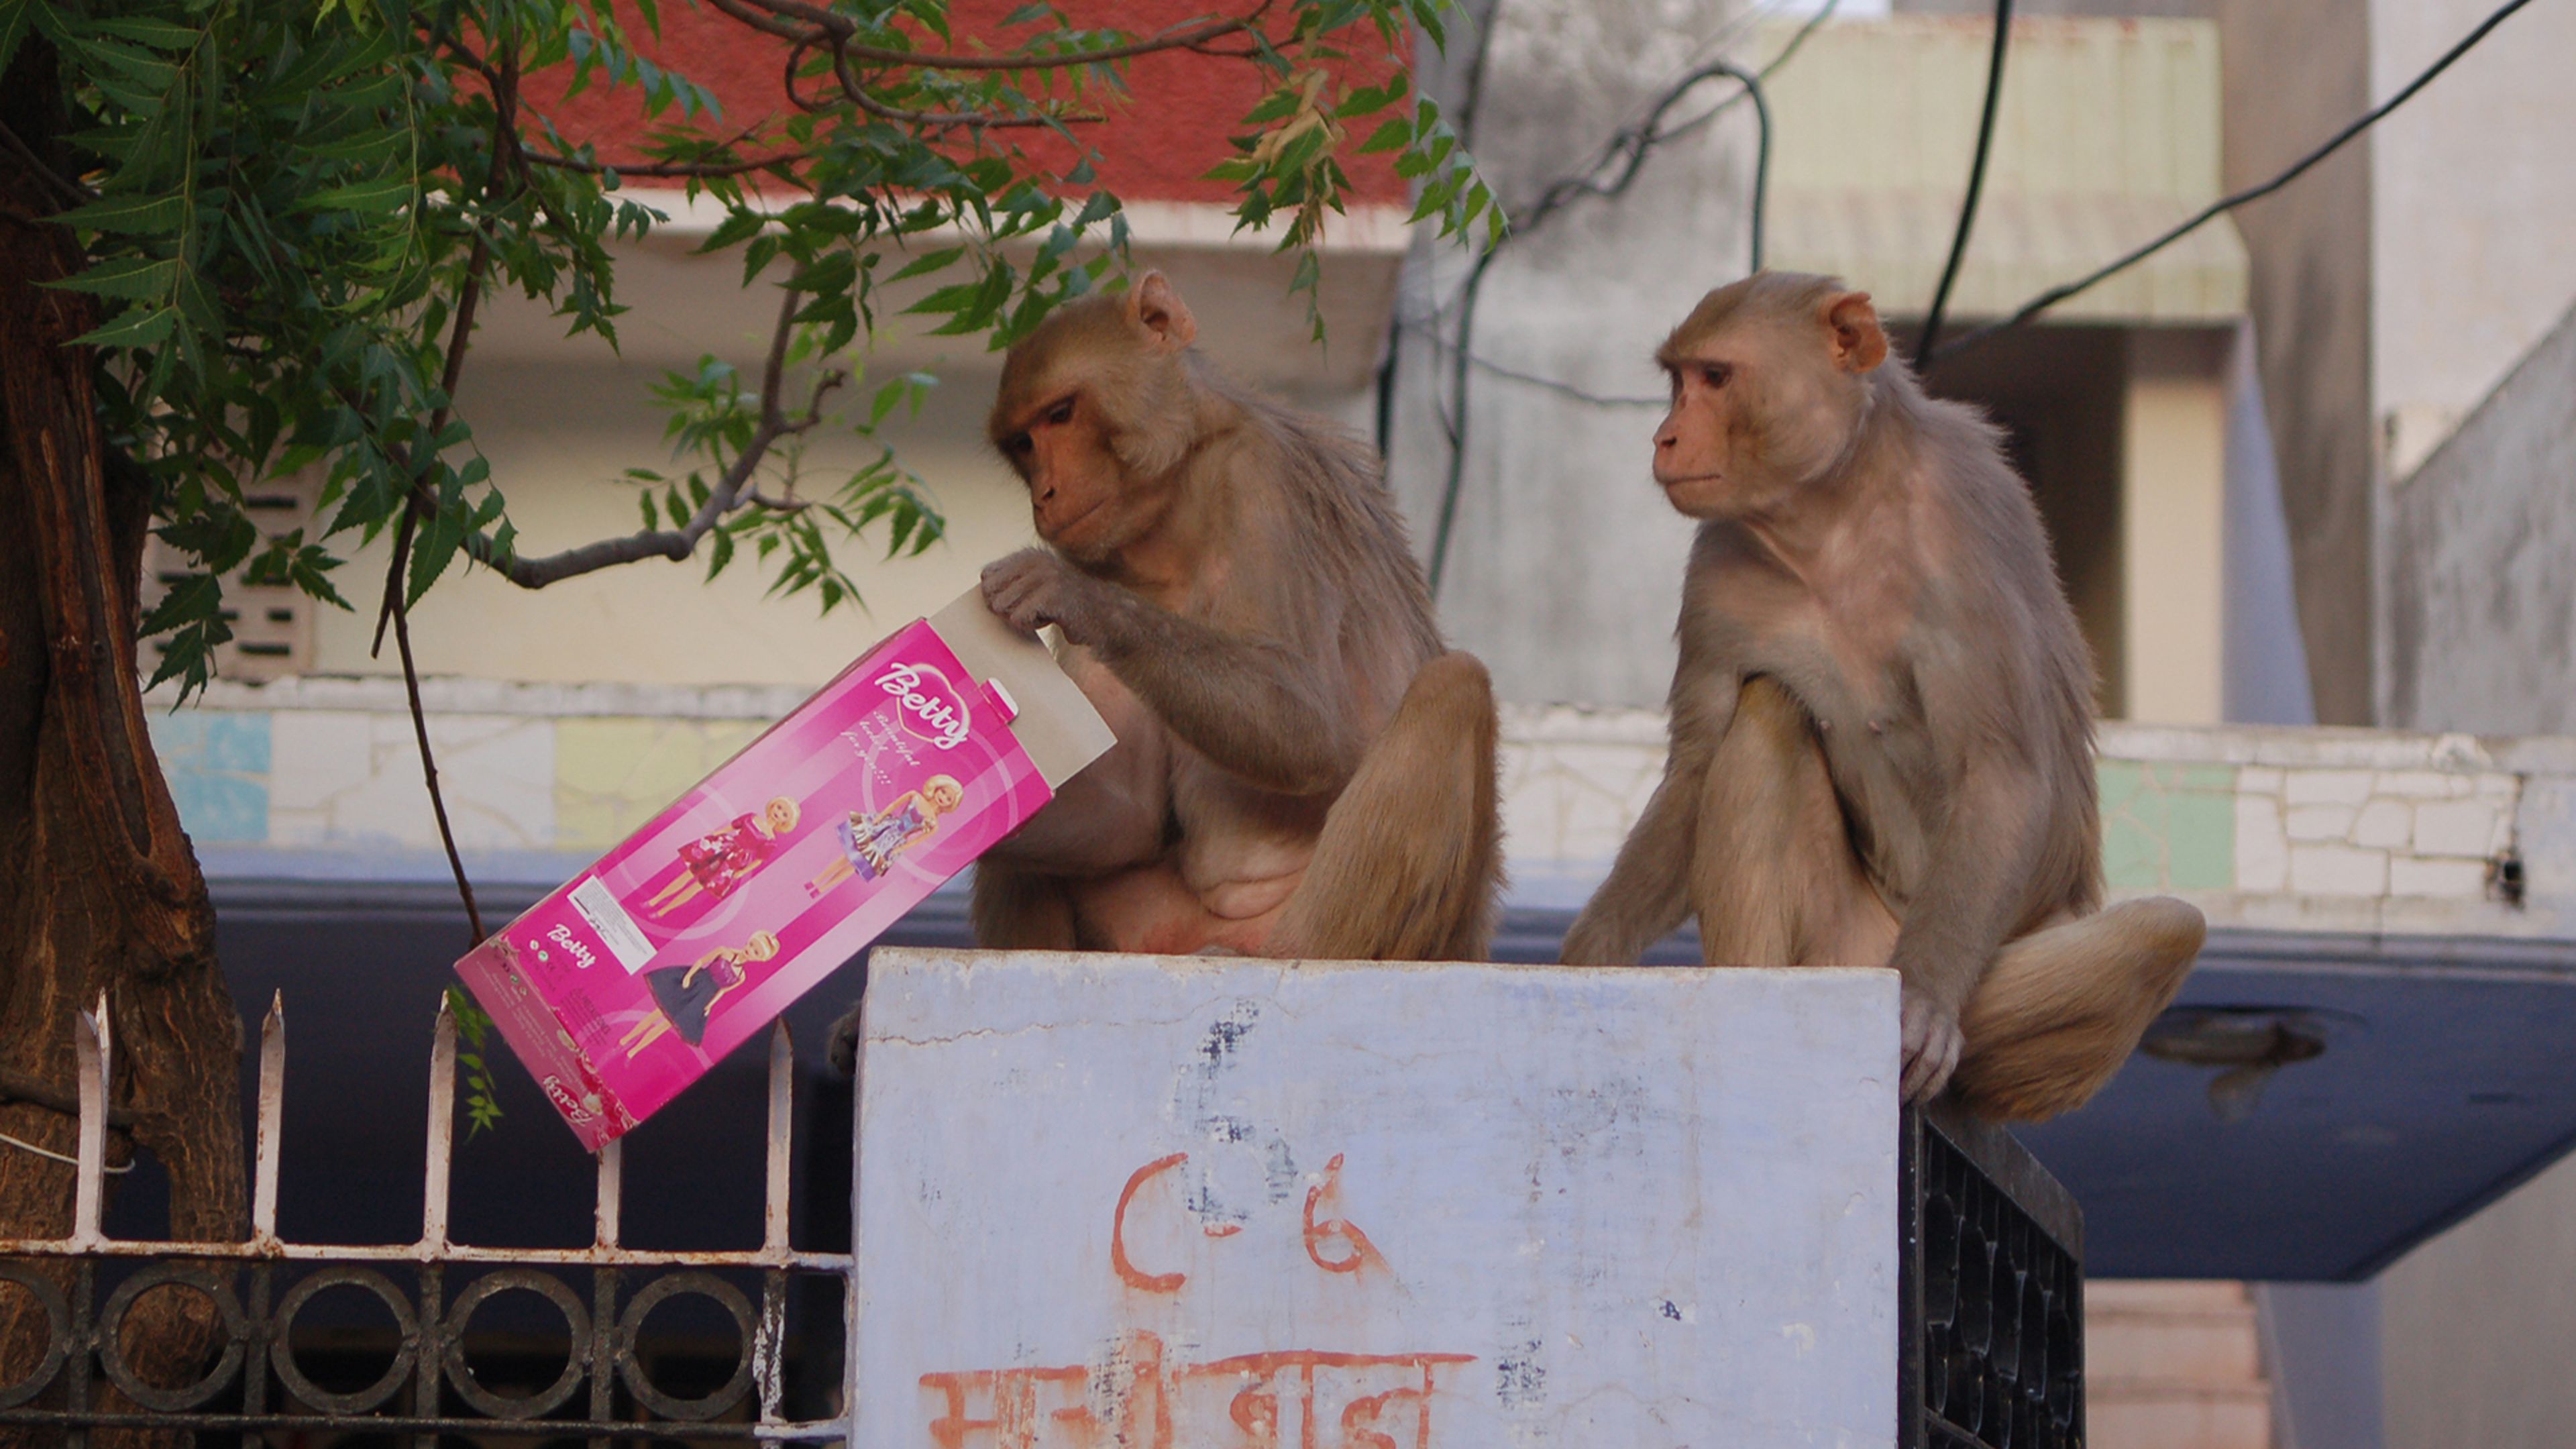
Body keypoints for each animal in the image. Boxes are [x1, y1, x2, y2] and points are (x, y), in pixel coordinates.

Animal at [968, 270, 1504, 964]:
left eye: (1061, 414)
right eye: (1024, 445)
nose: (1046, 494)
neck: (1176, 500)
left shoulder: (1260, 479)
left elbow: (1306, 722)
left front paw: (1070, 596)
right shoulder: (1110, 552)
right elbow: (1125, 816)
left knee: (1453, 687)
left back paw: (1297, 952)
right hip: (1159, 933)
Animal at [1559, 271, 2203, 1123]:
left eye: (1716, 378)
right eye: (1678, 381)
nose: (1664, 438)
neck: (1833, 518)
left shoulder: (1966, 522)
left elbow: (2002, 767)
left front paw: (1925, 1002)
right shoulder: (1719, 571)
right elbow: (1696, 768)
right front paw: (1589, 959)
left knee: (2165, 930)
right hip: (1836, 943)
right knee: (1768, 717)